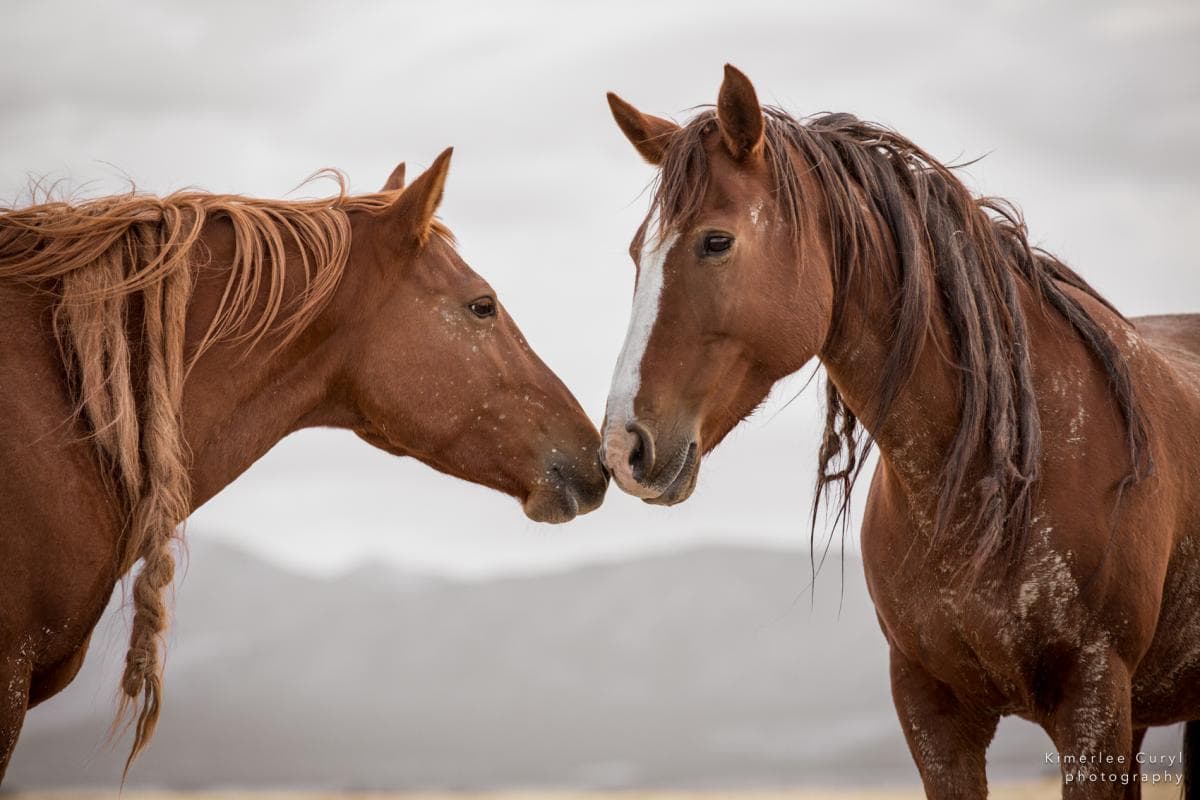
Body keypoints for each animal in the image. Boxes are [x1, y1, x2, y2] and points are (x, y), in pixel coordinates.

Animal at [599, 65, 1200, 799]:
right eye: (637, 253)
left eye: (716, 241)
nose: (622, 448)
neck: (991, 484)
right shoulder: (929, 709)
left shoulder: (1095, 700)